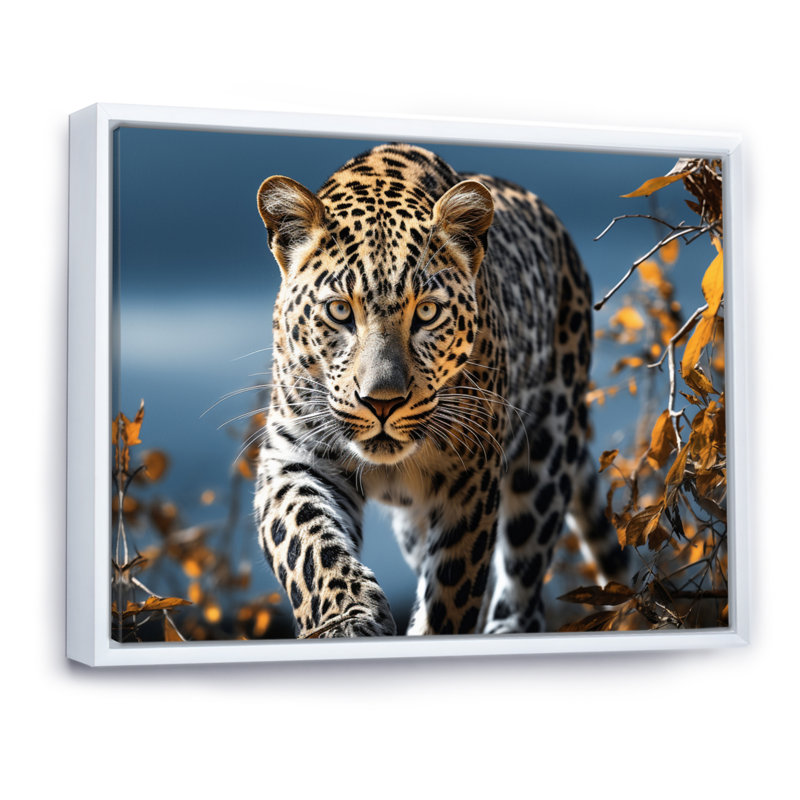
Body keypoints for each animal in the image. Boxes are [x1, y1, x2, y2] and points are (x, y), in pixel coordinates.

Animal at [253, 142, 624, 638]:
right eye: (339, 311)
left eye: (427, 313)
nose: (382, 403)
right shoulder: (296, 455)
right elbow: (307, 542)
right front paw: (346, 619)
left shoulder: (471, 477)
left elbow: (452, 586)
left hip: (545, 451)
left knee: (523, 577)